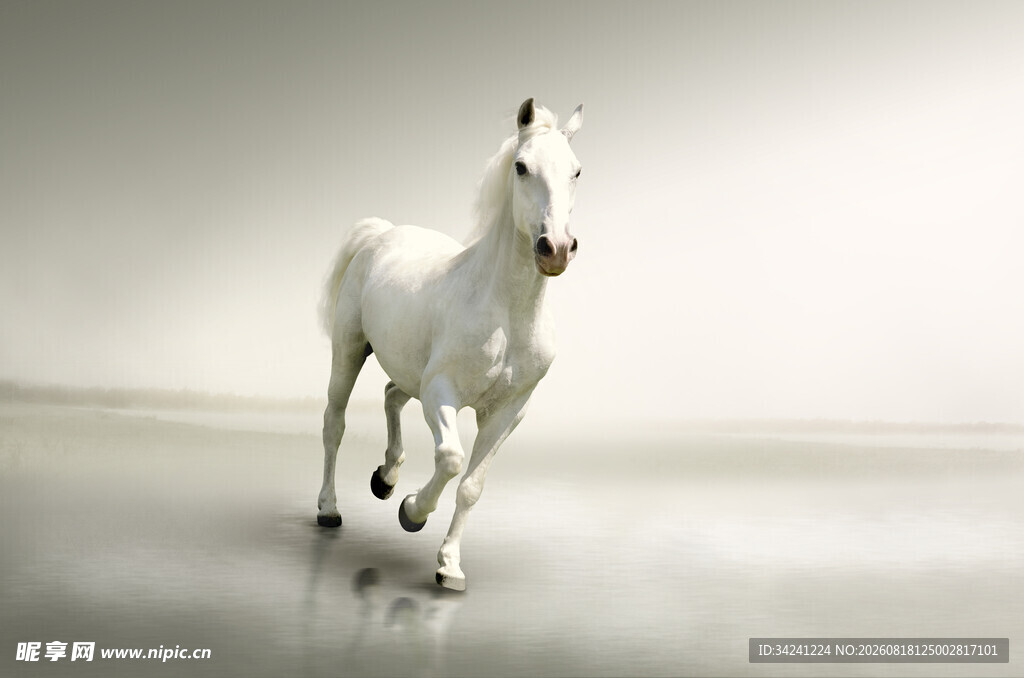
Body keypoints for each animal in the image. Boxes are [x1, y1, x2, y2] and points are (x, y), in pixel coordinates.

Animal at [317, 98, 584, 591]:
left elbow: (472, 486)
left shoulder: (508, 412)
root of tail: (381, 233)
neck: (506, 313)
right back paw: (329, 508)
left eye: (576, 170)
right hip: (348, 351)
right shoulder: (442, 393)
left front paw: (450, 567)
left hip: (409, 371)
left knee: (391, 394)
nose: (555, 248)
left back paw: (385, 478)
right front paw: (412, 512)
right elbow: (451, 458)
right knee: (334, 423)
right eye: (521, 166)